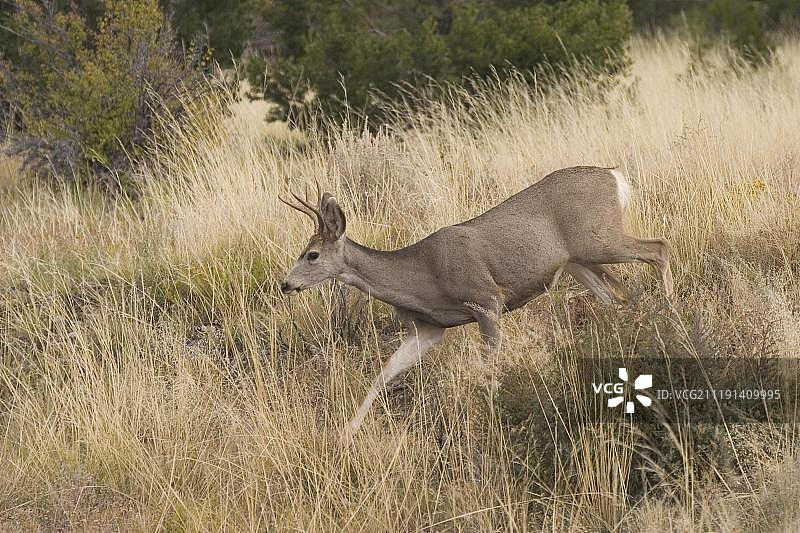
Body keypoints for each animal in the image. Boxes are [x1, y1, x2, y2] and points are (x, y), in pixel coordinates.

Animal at [278, 166, 674, 439]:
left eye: (311, 255)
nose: (285, 284)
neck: (421, 274)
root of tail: (613, 175)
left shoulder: (486, 301)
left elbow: (488, 368)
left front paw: (494, 413)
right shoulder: (428, 328)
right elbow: (383, 374)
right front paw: (346, 433)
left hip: (598, 239)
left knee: (659, 248)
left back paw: (672, 319)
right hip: (579, 261)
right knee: (620, 295)